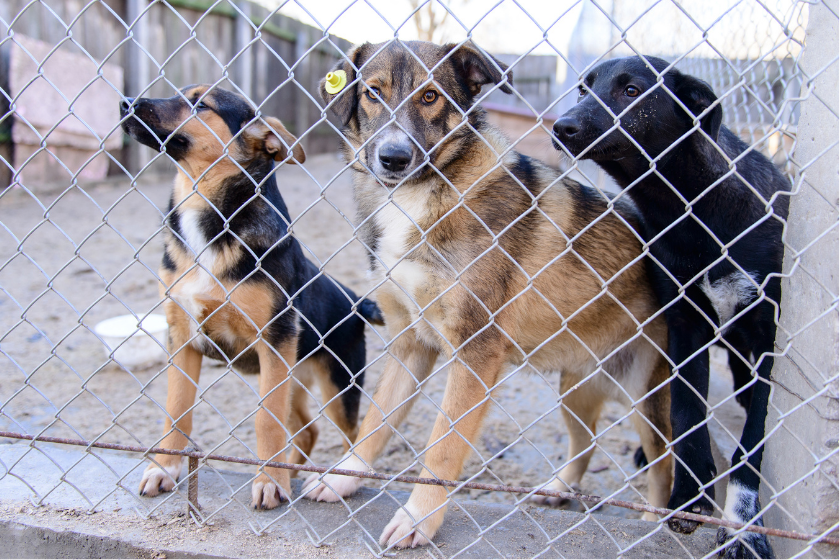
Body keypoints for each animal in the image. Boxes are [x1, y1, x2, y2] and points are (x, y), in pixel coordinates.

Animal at [118, 85, 384, 510]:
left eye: (200, 104)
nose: (125, 103)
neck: (207, 212)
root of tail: (356, 301)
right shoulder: (182, 337)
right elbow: (177, 410)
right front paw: (164, 468)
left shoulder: (274, 341)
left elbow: (266, 421)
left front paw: (270, 482)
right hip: (293, 377)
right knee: (306, 430)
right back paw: (294, 472)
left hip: (336, 383)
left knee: (349, 436)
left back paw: (331, 480)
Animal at [298, 41, 672, 548]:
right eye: (373, 93)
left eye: (431, 96)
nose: (394, 158)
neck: (421, 196)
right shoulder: (409, 345)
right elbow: (376, 423)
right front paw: (344, 476)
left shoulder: (477, 352)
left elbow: (442, 447)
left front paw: (419, 517)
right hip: (574, 389)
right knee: (587, 442)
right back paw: (558, 488)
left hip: (648, 403)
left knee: (664, 467)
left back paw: (654, 526)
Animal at [556, 54, 792, 556]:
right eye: (585, 89)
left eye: (632, 90)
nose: (561, 125)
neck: (689, 212)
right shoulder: (685, 327)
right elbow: (686, 415)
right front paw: (688, 496)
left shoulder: (768, 343)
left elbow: (752, 442)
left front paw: (741, 524)